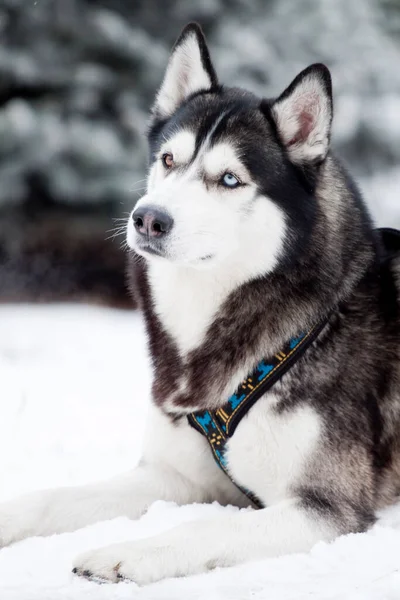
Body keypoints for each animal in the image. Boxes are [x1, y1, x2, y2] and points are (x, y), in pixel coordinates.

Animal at [0, 24, 400, 584]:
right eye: (168, 160)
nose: (147, 219)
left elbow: (206, 527)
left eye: (230, 178)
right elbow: (54, 497)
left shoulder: (325, 506)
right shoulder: (175, 476)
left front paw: (126, 552)